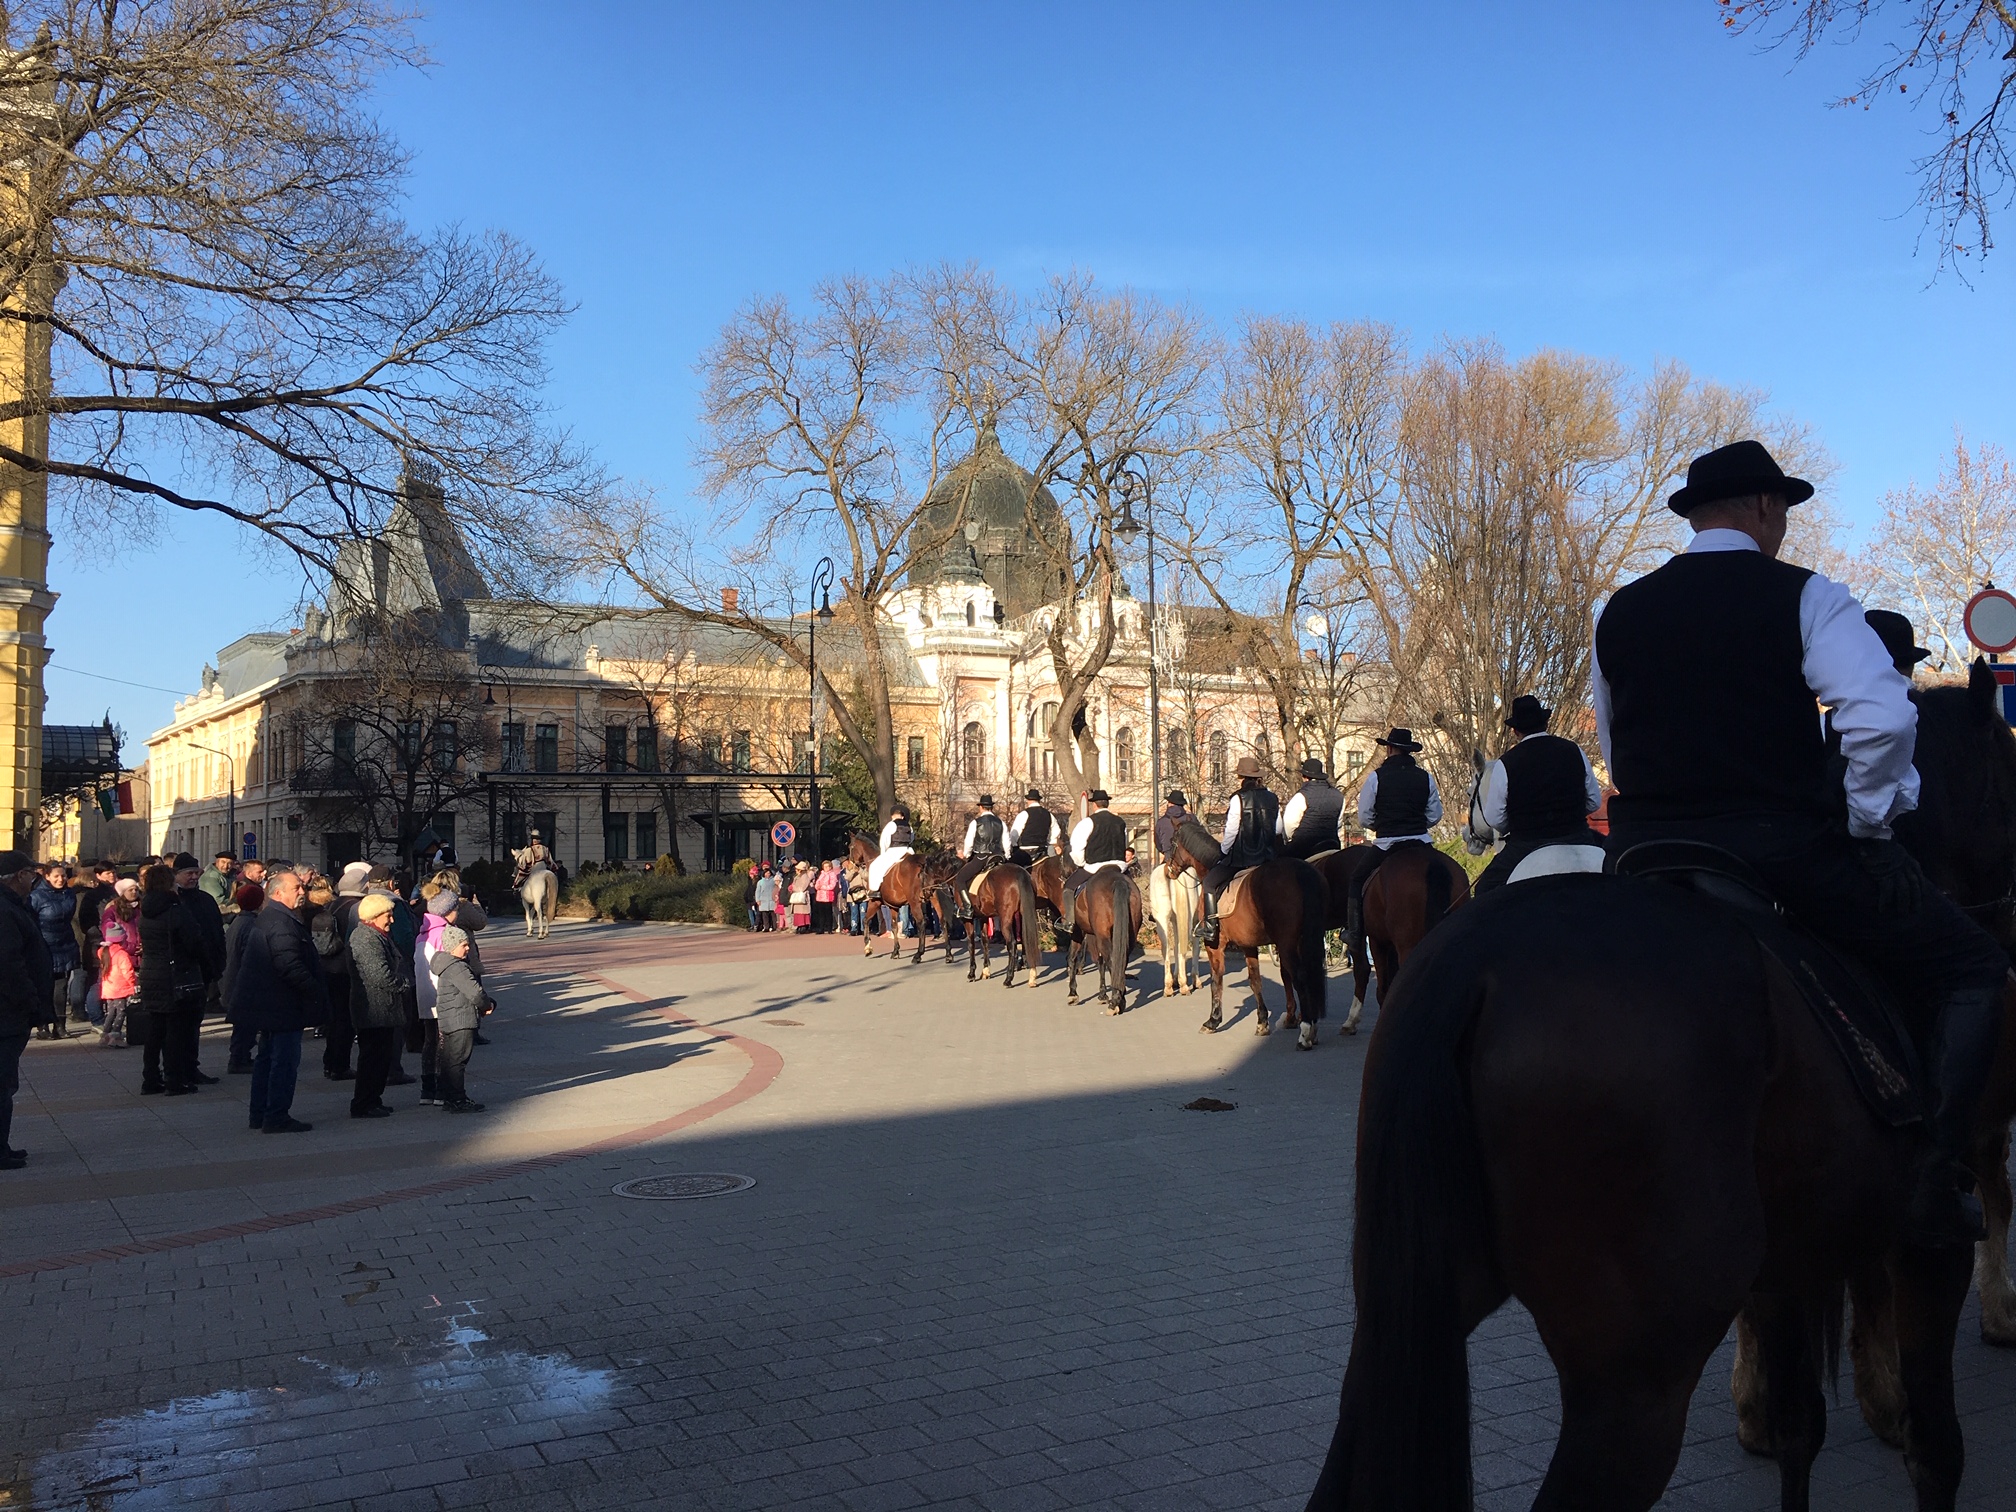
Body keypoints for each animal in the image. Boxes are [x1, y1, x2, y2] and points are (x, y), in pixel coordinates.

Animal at [967, 862, 1048, 995]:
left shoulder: (967, 919)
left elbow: (971, 944)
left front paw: (972, 973)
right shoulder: (984, 917)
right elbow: (985, 942)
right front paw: (985, 971)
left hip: (1005, 920)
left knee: (1012, 944)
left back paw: (1008, 979)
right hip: (1023, 914)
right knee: (1027, 941)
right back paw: (1032, 977)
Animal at [1161, 818, 1330, 1056]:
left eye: (1172, 841)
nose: (1168, 870)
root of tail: (1302, 872)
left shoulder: (1214, 945)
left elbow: (1216, 980)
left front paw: (1213, 1020)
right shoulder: (1249, 945)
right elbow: (1255, 981)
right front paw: (1262, 1022)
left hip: (1288, 945)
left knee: (1300, 977)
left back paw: (1306, 1033)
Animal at [1306, 661, 2016, 1512]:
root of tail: (1469, 971)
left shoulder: (1824, 1256)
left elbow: (1828, 1433)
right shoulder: (1898, 1250)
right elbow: (1899, 1440)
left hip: (1476, 1326)